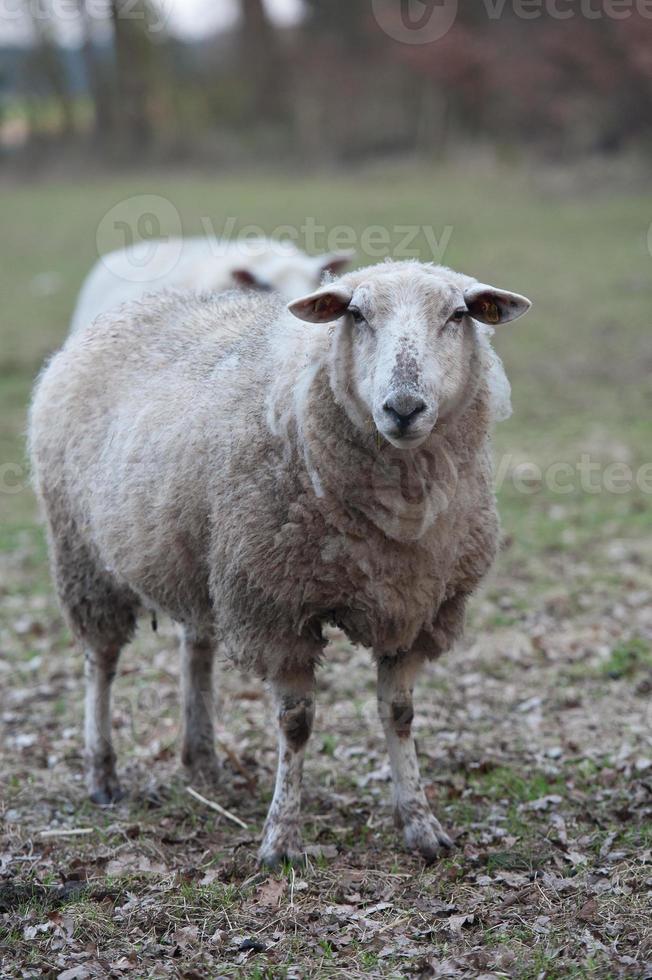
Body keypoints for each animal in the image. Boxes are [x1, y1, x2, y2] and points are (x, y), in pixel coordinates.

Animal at [28, 258, 532, 864]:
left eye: (458, 315)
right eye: (356, 315)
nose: (403, 408)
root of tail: (126, 311)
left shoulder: (415, 606)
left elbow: (399, 715)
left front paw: (420, 824)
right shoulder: (275, 606)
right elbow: (296, 724)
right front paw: (282, 838)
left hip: (203, 559)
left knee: (196, 649)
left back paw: (203, 760)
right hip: (83, 555)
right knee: (100, 663)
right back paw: (103, 773)